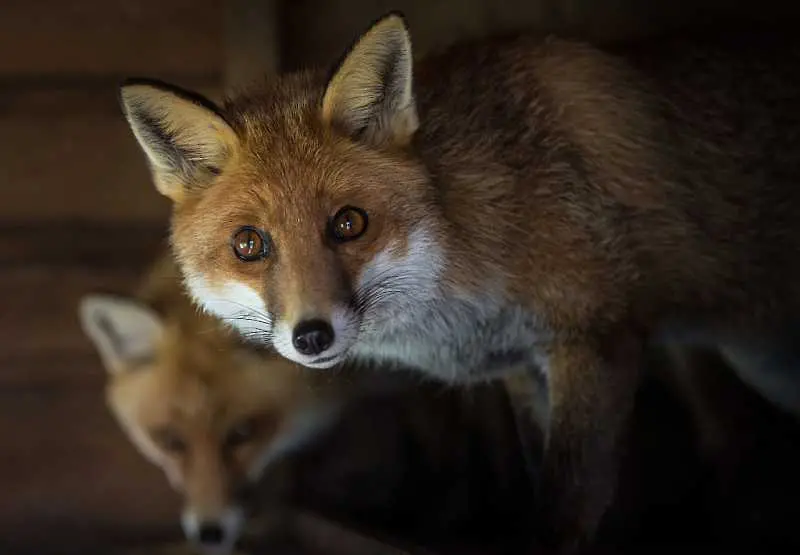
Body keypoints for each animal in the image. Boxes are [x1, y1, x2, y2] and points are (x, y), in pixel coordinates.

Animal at [115, 11, 800, 552]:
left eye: (349, 223)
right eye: (249, 245)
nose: (311, 336)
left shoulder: (597, 341)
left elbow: (564, 510)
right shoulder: (525, 367)